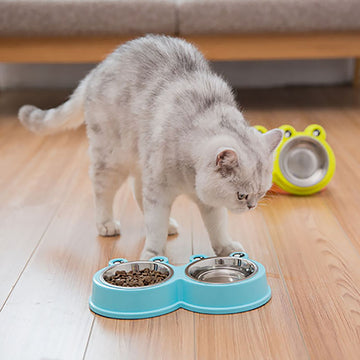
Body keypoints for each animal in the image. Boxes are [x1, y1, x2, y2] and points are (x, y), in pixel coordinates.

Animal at [18, 35, 282, 260]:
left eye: (261, 193)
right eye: (241, 195)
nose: (251, 206)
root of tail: (97, 69)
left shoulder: (207, 203)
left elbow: (217, 226)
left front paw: (226, 248)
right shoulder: (159, 190)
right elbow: (154, 225)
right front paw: (153, 253)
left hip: (140, 160)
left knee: (137, 190)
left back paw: (169, 224)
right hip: (113, 158)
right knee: (102, 190)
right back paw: (106, 223)